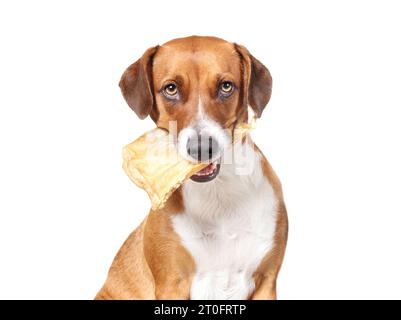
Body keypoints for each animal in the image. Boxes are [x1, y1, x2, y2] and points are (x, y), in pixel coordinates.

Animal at [95, 35, 286, 300]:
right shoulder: (171, 283)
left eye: (226, 86)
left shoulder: (266, 281)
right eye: (171, 89)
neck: (219, 195)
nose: (202, 148)